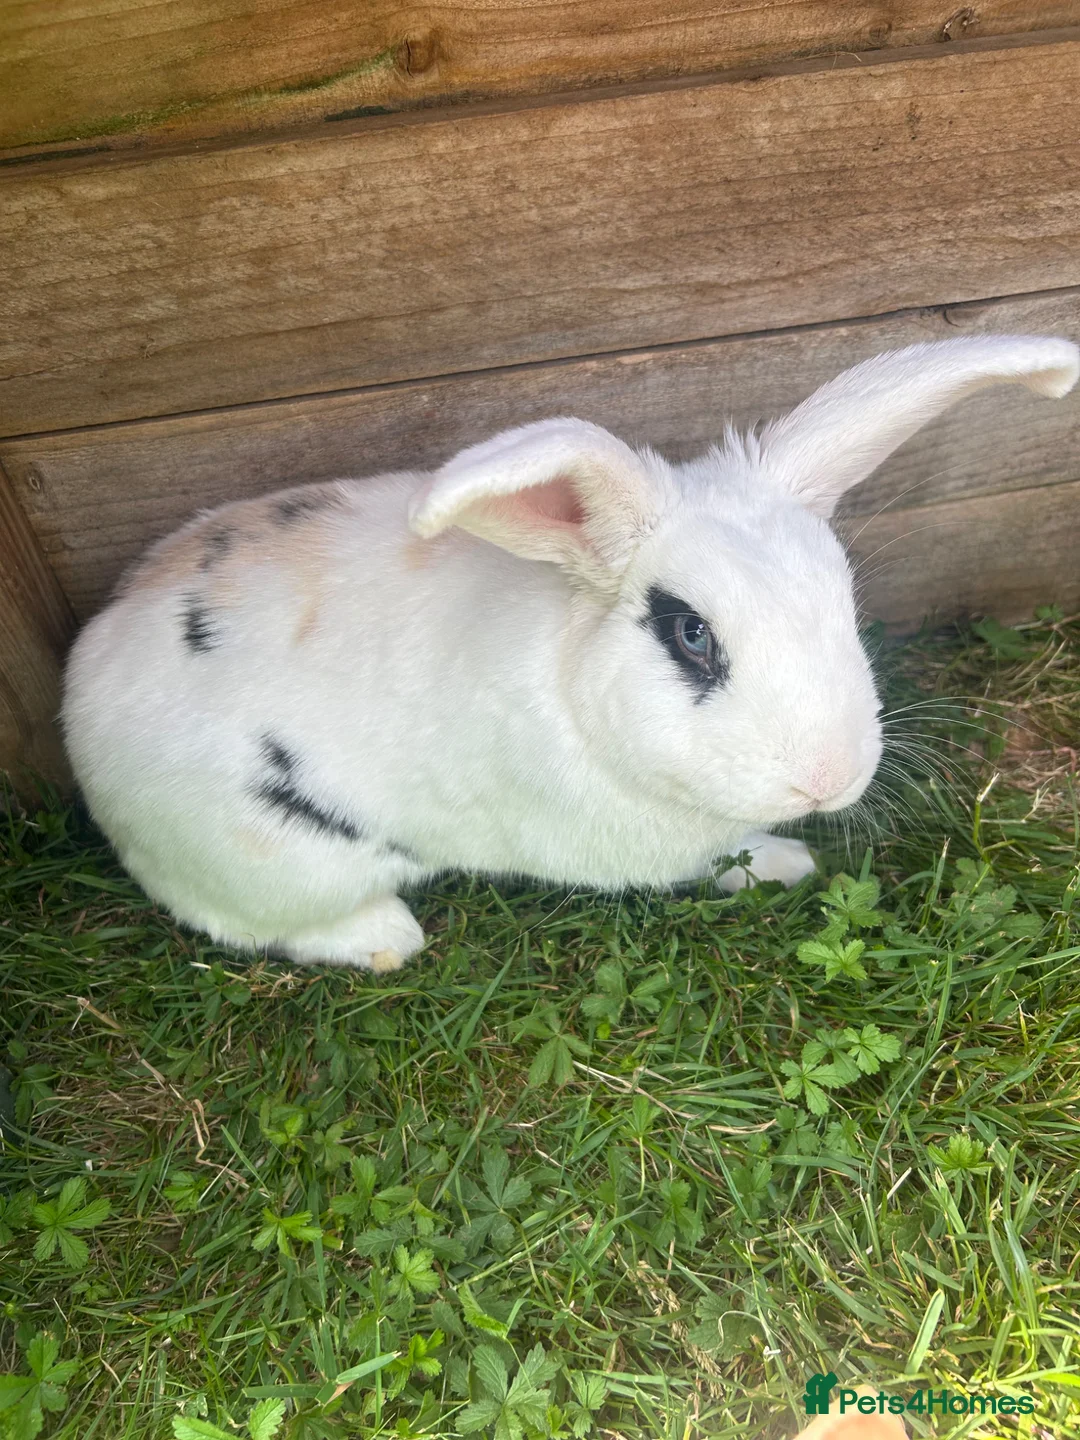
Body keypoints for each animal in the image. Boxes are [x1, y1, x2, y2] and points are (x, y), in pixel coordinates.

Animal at [62, 336, 1079, 972]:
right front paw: (787, 863)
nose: (826, 779)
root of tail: (83, 684)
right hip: (279, 861)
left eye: (844, 600)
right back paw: (383, 938)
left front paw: (785, 858)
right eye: (690, 632)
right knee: (231, 916)